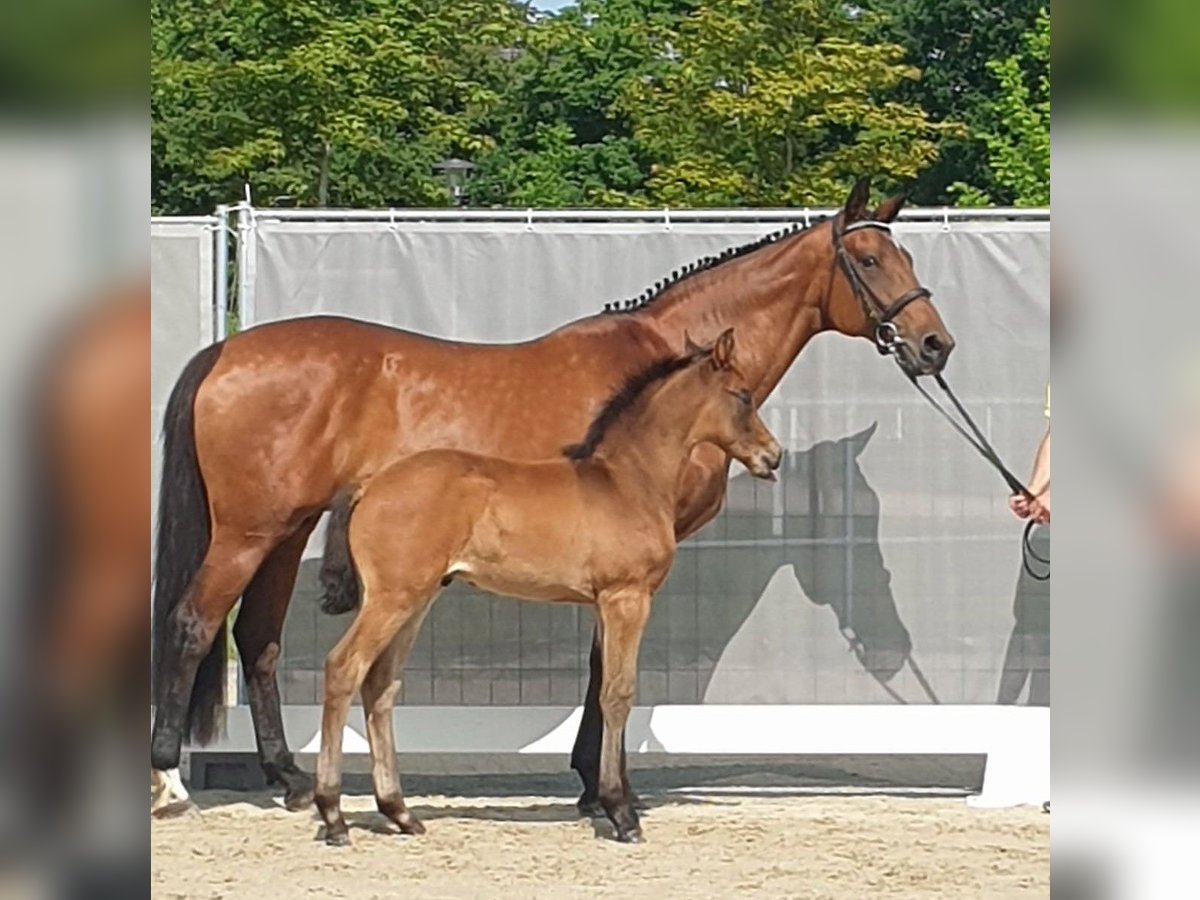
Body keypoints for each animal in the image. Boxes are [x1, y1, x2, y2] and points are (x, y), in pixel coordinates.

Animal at [314, 331, 777, 844]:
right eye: (742, 395)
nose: (773, 455)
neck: (627, 481)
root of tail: (370, 486)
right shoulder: (628, 598)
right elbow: (619, 692)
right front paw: (621, 814)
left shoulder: (602, 604)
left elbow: (603, 689)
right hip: (392, 599)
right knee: (343, 668)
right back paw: (333, 816)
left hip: (416, 600)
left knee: (380, 684)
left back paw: (400, 812)